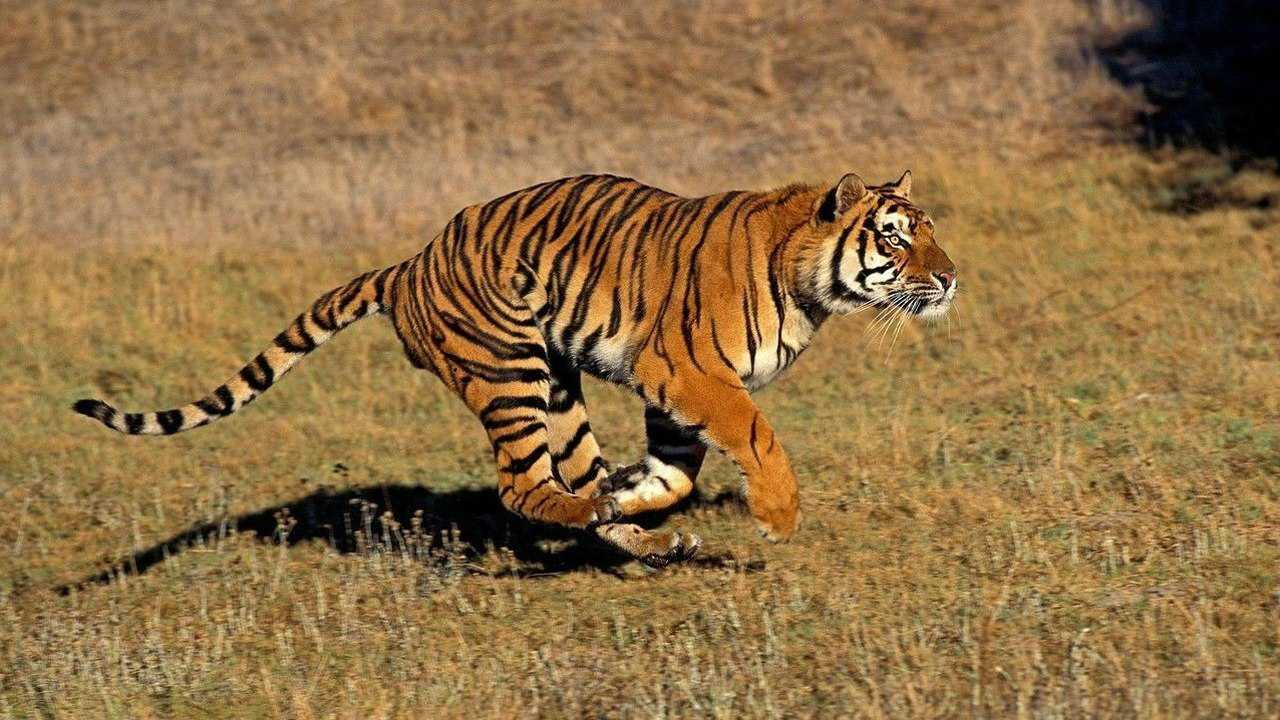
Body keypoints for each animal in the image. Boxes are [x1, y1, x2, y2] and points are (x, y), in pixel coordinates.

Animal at [74, 170, 957, 566]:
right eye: (894, 237)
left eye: (931, 231)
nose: (950, 278)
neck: (808, 285)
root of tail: (407, 264)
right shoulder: (686, 372)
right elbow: (755, 432)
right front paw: (778, 513)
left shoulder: (670, 396)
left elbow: (675, 474)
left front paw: (638, 493)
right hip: (510, 373)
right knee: (521, 487)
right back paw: (601, 518)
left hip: (557, 382)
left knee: (563, 481)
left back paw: (628, 527)